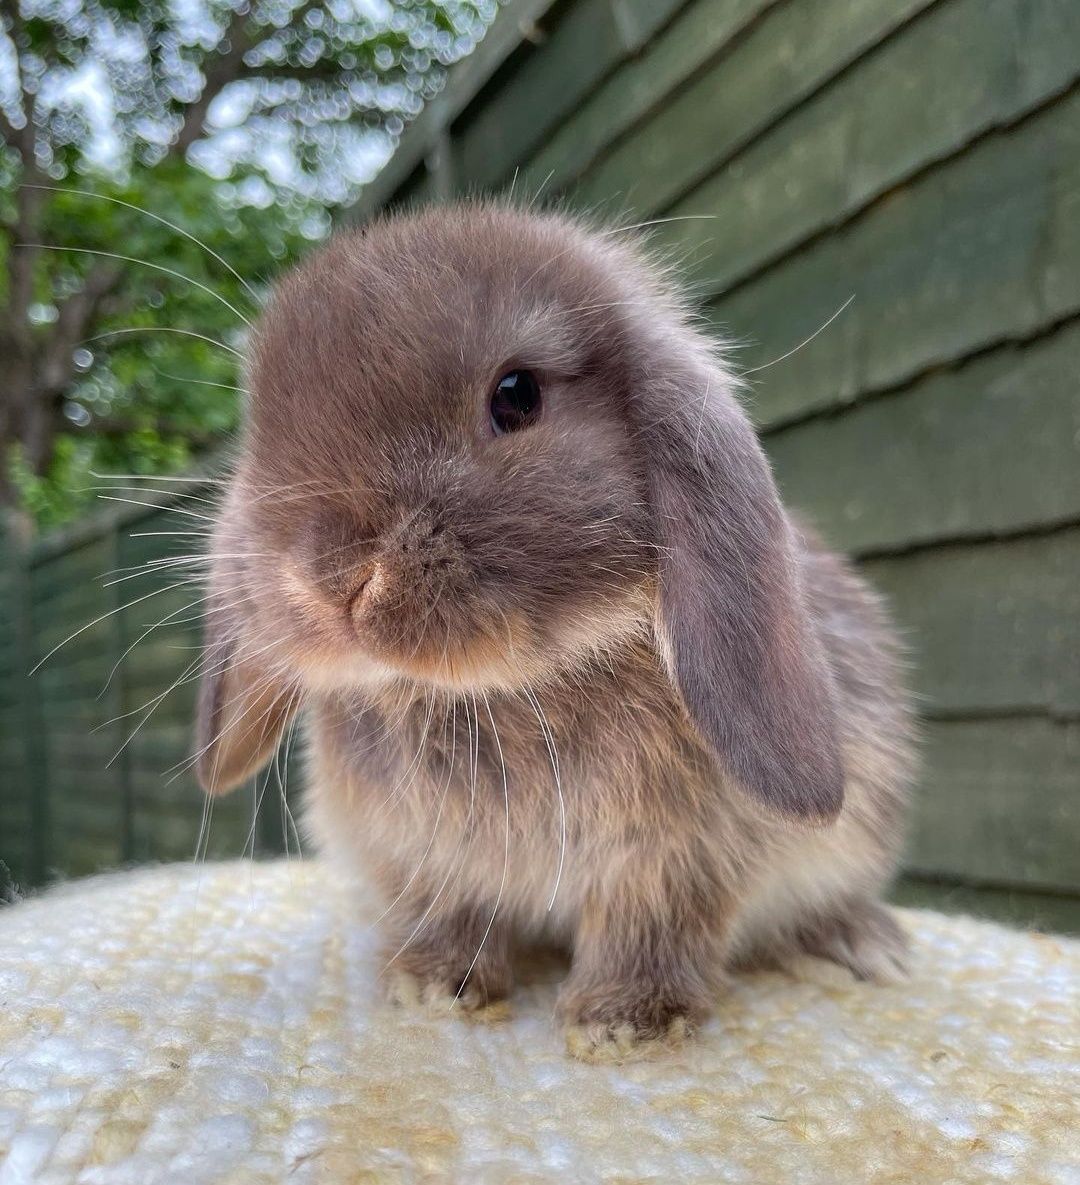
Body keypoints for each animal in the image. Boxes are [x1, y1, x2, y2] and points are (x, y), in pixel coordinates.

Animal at [194, 201, 910, 1066]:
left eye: (517, 396)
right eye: (261, 433)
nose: (330, 576)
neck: (494, 692)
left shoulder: (677, 860)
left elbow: (650, 927)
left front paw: (623, 1022)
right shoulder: (419, 860)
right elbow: (446, 912)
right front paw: (431, 985)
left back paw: (857, 944)